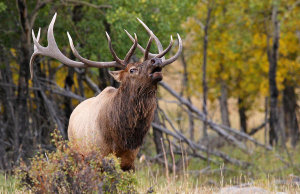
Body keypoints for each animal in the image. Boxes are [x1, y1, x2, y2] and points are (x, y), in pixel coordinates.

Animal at [30, 13, 182, 171]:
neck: (122, 138)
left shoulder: (131, 160)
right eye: (132, 70)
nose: (156, 60)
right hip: (78, 151)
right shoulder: (99, 155)